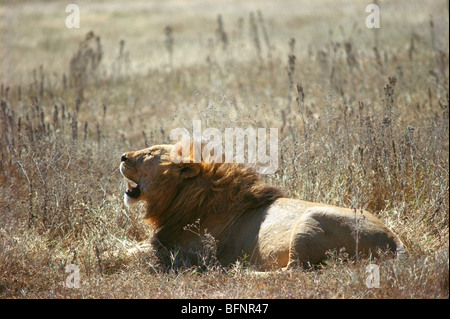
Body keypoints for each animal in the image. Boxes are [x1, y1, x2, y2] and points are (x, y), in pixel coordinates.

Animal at [119, 144, 408, 272]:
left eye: (149, 153)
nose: (122, 156)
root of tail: (395, 239)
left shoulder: (180, 254)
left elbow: (127, 253)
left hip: (310, 221)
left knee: (293, 272)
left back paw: (243, 272)